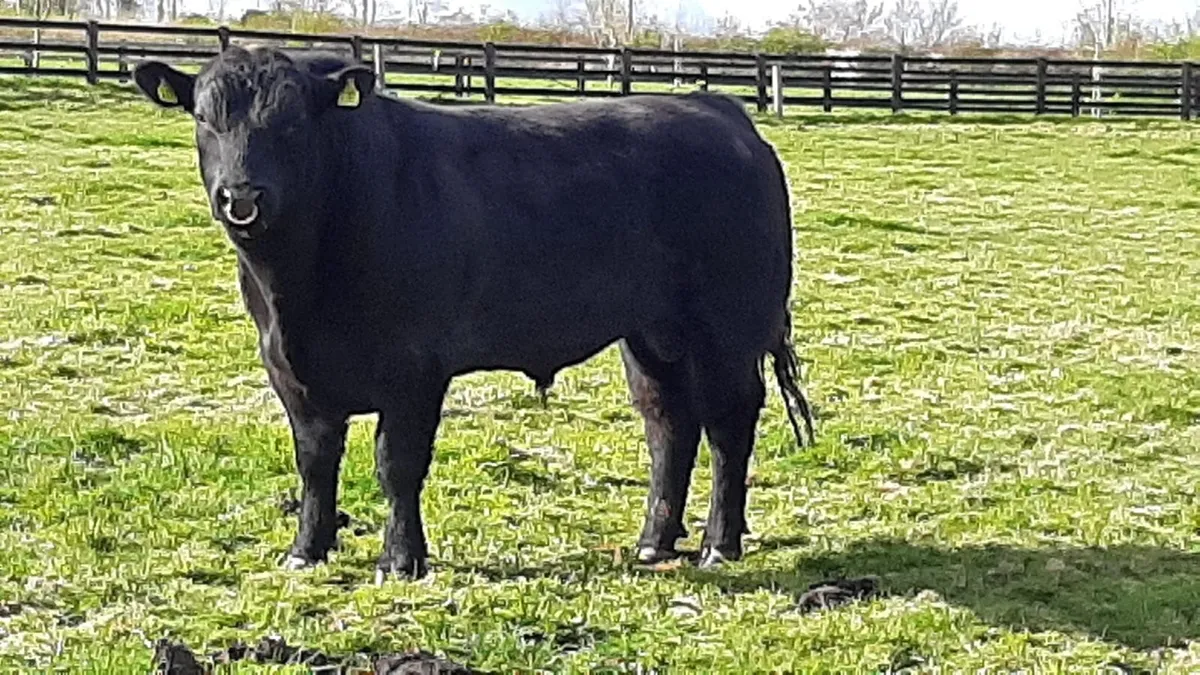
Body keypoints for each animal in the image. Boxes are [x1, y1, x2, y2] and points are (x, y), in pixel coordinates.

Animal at [131, 46, 816, 581]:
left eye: (293, 124)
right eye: (204, 119)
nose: (241, 197)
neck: (296, 291)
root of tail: (717, 110)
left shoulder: (414, 369)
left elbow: (397, 464)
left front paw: (400, 561)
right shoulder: (289, 371)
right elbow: (315, 462)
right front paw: (306, 550)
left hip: (727, 328)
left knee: (729, 425)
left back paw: (718, 545)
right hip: (651, 336)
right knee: (669, 424)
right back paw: (653, 542)